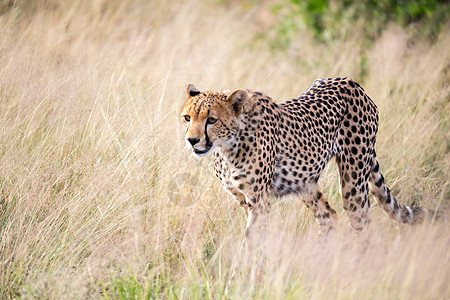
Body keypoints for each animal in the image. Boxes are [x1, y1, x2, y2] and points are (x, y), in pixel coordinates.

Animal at [180, 78, 436, 237]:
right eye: (187, 118)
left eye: (212, 120)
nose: (192, 140)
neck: (227, 147)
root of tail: (351, 82)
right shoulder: (244, 199)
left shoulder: (260, 200)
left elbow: (252, 239)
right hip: (304, 181)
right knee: (329, 216)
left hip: (353, 183)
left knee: (362, 224)